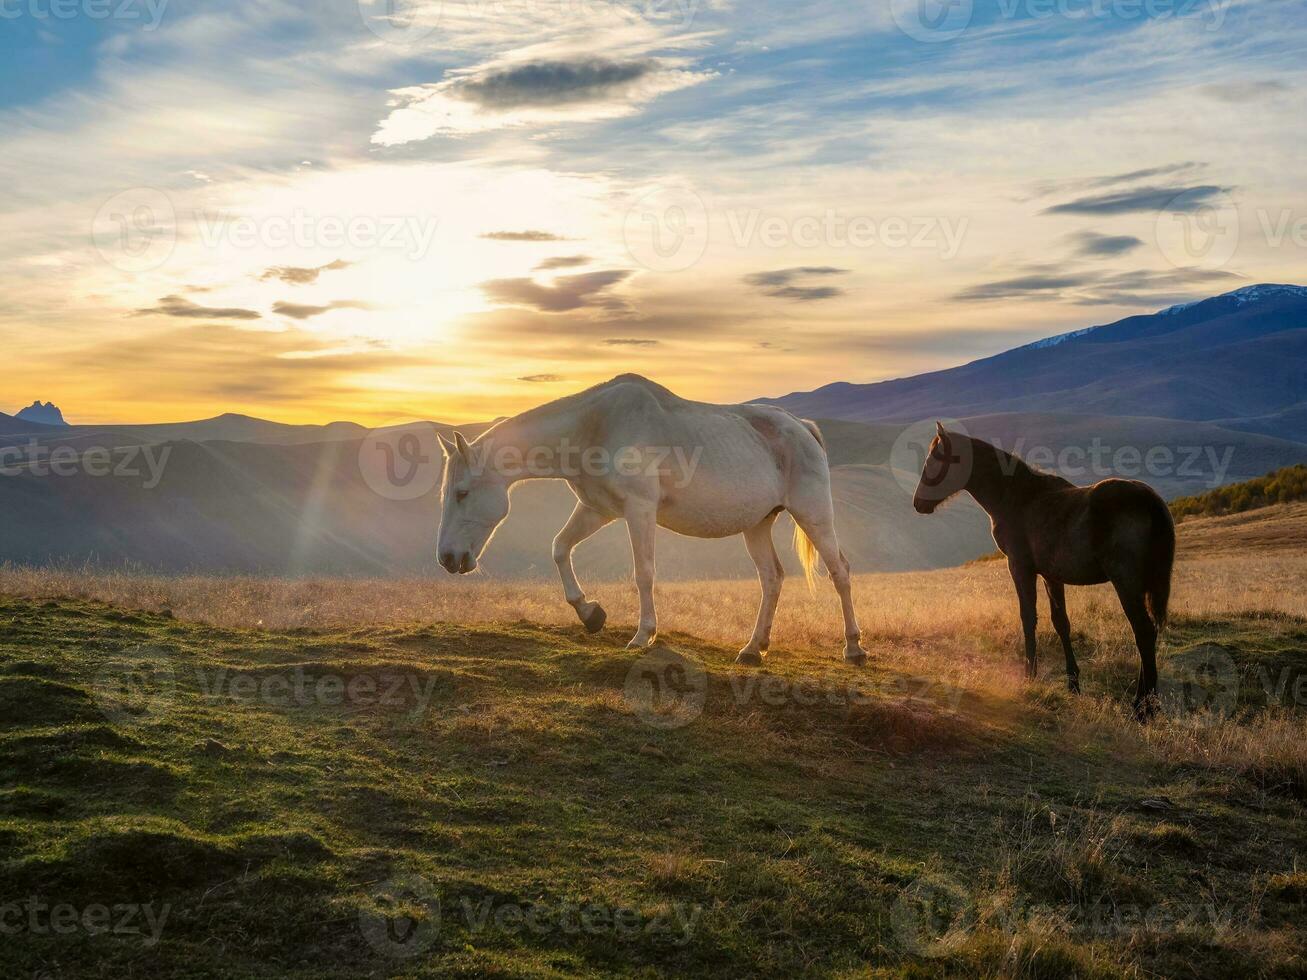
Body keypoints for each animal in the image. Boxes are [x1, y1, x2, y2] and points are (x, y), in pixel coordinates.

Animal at [436, 376, 867, 669]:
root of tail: (802, 427)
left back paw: (853, 647)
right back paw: (752, 648)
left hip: (813, 513)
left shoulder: (639, 511)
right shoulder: (597, 510)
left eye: (461, 493)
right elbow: (559, 548)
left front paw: (643, 634)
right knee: (772, 578)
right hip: (757, 524)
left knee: (839, 571)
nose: (447, 559)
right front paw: (590, 613)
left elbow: (643, 572)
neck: (594, 426)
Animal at [914, 423, 1181, 721]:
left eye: (933, 460)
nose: (918, 503)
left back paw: (1142, 708)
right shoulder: (1052, 576)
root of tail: (1150, 501)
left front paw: (1029, 675)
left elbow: (1028, 618)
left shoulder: (1020, 568)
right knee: (1148, 632)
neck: (1019, 496)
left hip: (1126, 583)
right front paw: (1073, 683)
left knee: (1143, 632)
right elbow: (1061, 623)